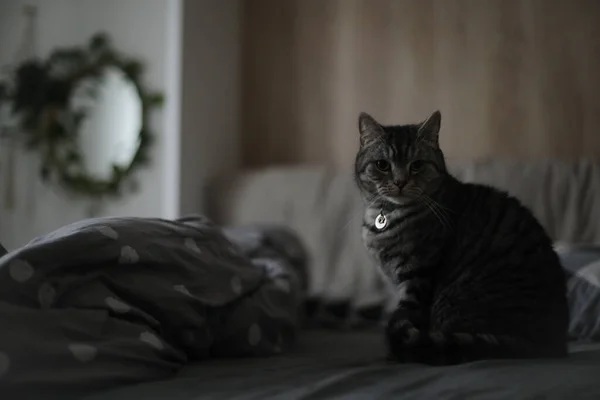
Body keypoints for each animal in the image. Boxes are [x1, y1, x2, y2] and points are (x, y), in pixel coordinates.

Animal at [354, 110, 568, 366]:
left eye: (416, 165)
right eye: (382, 165)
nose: (400, 182)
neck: (385, 216)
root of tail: (549, 342)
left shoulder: (418, 276)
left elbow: (406, 316)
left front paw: (396, 354)